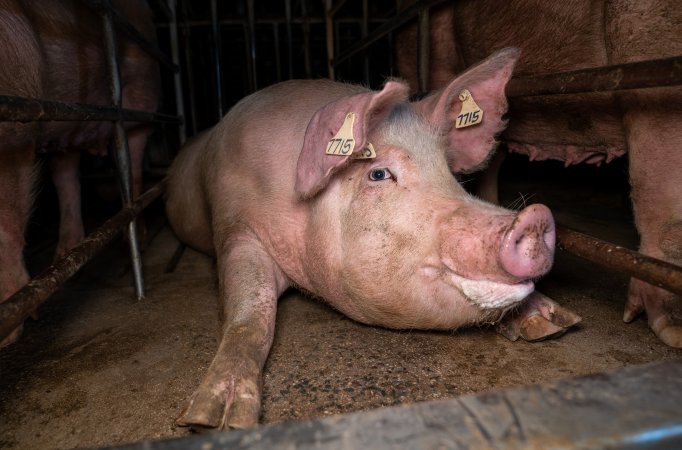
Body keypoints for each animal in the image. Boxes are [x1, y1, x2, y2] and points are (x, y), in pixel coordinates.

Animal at [0, 0, 158, 344]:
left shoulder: (15, 108)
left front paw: (10, 331)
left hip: (141, 92)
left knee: (133, 163)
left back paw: (135, 240)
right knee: (66, 174)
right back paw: (67, 255)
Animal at [165, 47, 580, 430]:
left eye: (450, 173)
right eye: (378, 174)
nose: (535, 218)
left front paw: (558, 323)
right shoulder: (234, 229)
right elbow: (251, 314)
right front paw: (214, 419)